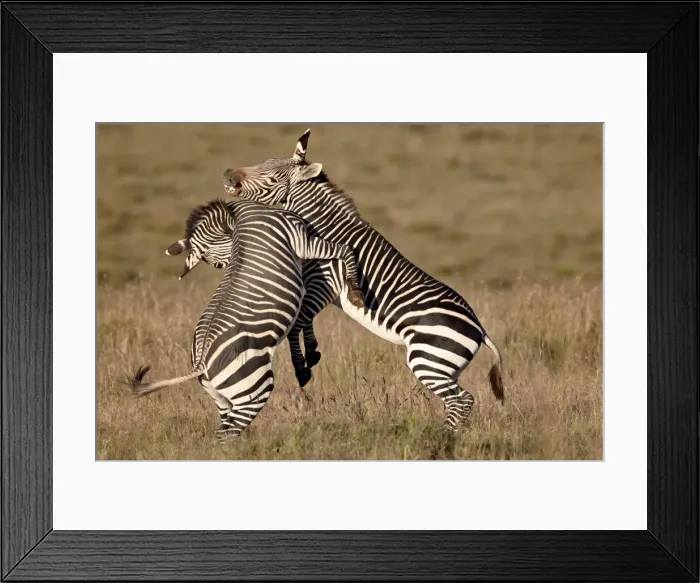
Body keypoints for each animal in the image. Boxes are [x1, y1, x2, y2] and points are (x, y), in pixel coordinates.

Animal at [125, 198, 366, 440]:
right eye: (216, 263)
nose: (227, 265)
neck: (240, 214)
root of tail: (201, 363)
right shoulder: (302, 241)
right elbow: (345, 250)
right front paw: (356, 292)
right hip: (252, 386)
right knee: (231, 432)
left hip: (221, 397)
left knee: (223, 431)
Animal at [218, 129, 505, 432]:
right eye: (264, 161)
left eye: (272, 176)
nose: (228, 174)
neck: (327, 229)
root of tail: (480, 329)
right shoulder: (322, 289)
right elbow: (305, 323)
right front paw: (313, 354)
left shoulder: (324, 284)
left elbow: (298, 322)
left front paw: (303, 368)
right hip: (444, 366)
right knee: (460, 400)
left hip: (429, 359)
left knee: (462, 400)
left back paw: (443, 436)